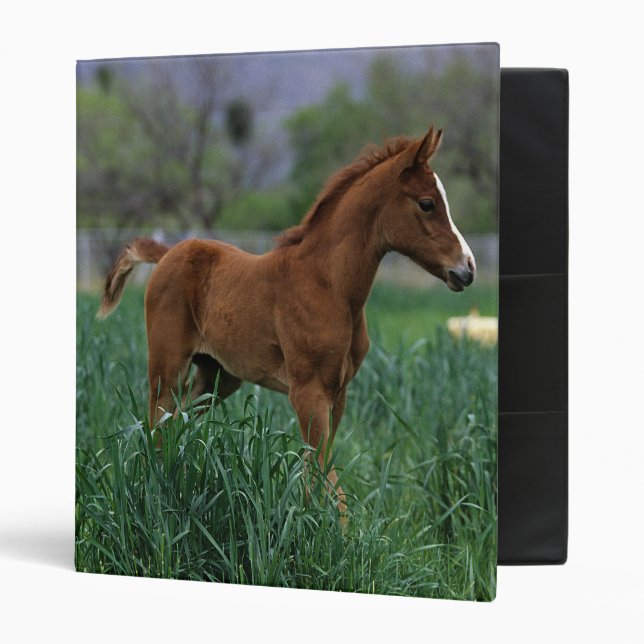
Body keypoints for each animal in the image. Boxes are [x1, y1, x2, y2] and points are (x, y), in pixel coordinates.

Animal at [97, 126, 476, 514]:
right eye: (427, 203)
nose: (467, 268)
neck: (329, 285)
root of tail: (167, 254)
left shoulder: (338, 393)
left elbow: (318, 472)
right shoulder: (308, 390)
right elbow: (325, 476)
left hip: (217, 376)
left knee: (175, 425)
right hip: (167, 367)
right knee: (156, 427)